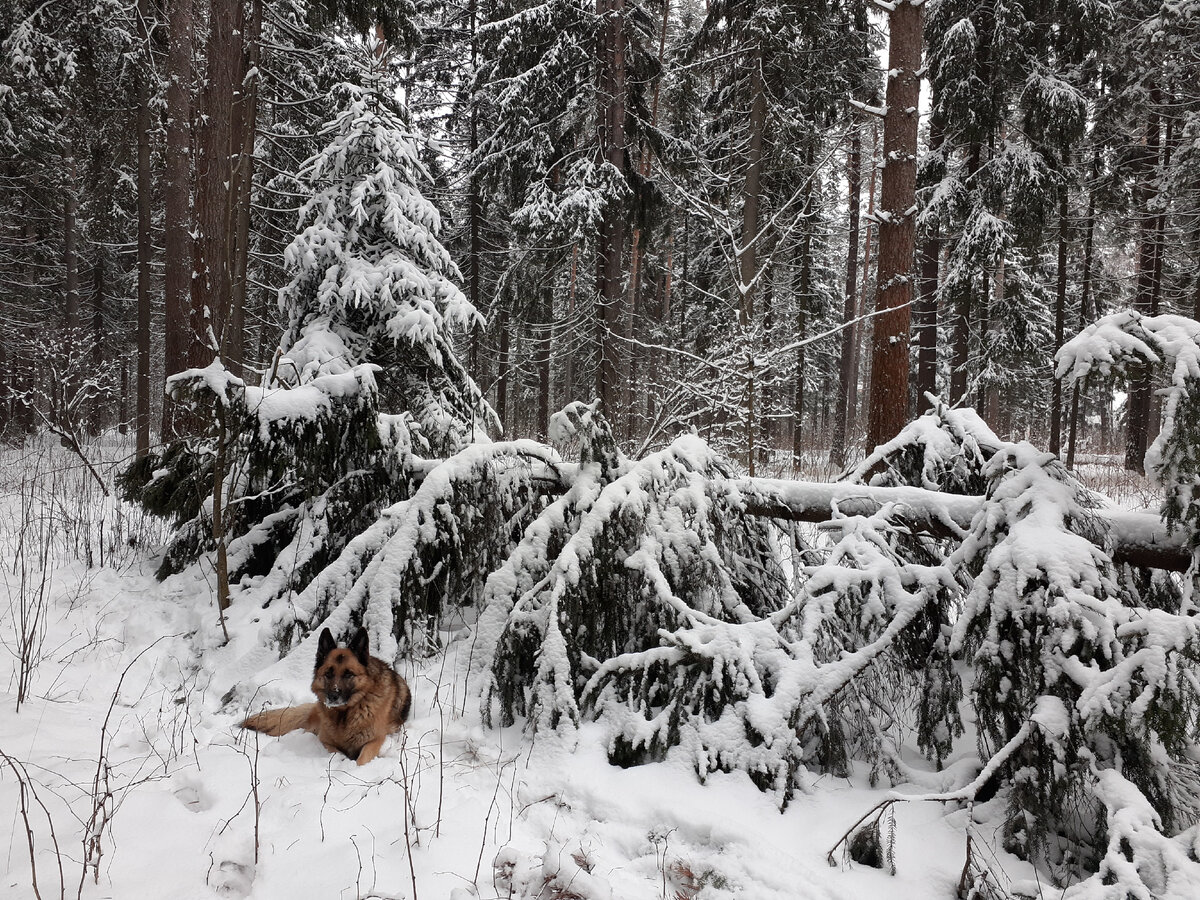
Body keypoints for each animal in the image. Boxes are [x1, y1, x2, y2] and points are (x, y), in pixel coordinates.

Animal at [240, 628, 412, 768]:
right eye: (329, 673)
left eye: (349, 674)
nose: (333, 696)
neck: (345, 714)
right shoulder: (325, 740)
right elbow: (337, 754)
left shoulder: (375, 740)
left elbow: (362, 760)